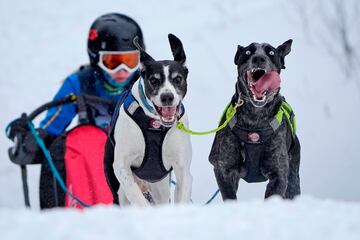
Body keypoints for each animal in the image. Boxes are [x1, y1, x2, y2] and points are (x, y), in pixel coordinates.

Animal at [112, 33, 191, 206]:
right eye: (154, 80)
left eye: (177, 79)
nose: (167, 96)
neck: (154, 124)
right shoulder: (121, 165)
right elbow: (135, 195)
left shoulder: (182, 167)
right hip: (119, 191)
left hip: (160, 189)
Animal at [208, 39, 300, 201]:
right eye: (248, 52)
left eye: (271, 52)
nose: (259, 58)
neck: (254, 120)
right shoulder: (223, 168)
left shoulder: (279, 175)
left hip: (293, 181)